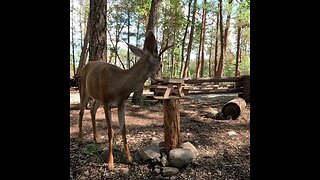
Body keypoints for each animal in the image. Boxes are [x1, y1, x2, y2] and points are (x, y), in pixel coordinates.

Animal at [78, 31, 172, 170]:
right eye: (161, 64)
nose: (162, 80)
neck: (120, 86)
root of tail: (86, 65)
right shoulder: (107, 102)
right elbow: (111, 131)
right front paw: (110, 163)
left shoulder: (121, 104)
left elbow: (123, 129)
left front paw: (129, 158)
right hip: (84, 90)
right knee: (81, 112)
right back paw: (80, 140)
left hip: (98, 98)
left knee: (92, 110)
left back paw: (96, 138)